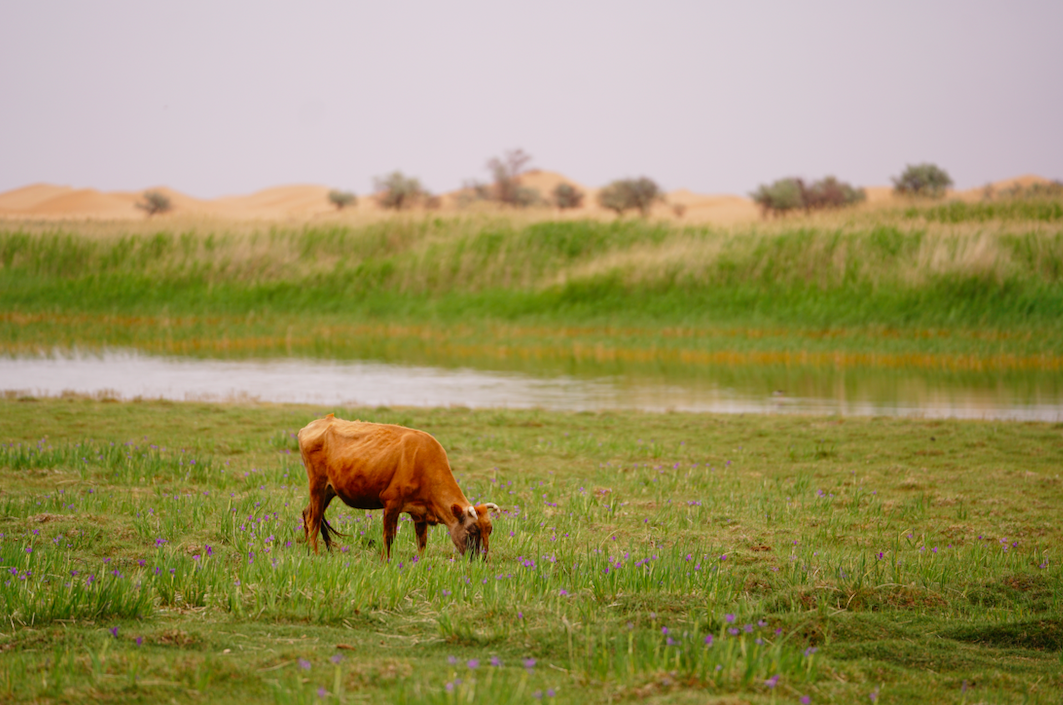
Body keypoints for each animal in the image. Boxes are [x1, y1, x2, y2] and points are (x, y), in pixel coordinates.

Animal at [297, 414, 499, 561]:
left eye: (489, 530)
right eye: (472, 531)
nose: (481, 560)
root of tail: (316, 423)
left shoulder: (420, 513)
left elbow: (422, 541)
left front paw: (421, 563)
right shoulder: (391, 503)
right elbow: (389, 537)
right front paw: (385, 562)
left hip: (328, 490)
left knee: (307, 513)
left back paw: (308, 551)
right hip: (317, 484)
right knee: (314, 520)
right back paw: (314, 555)